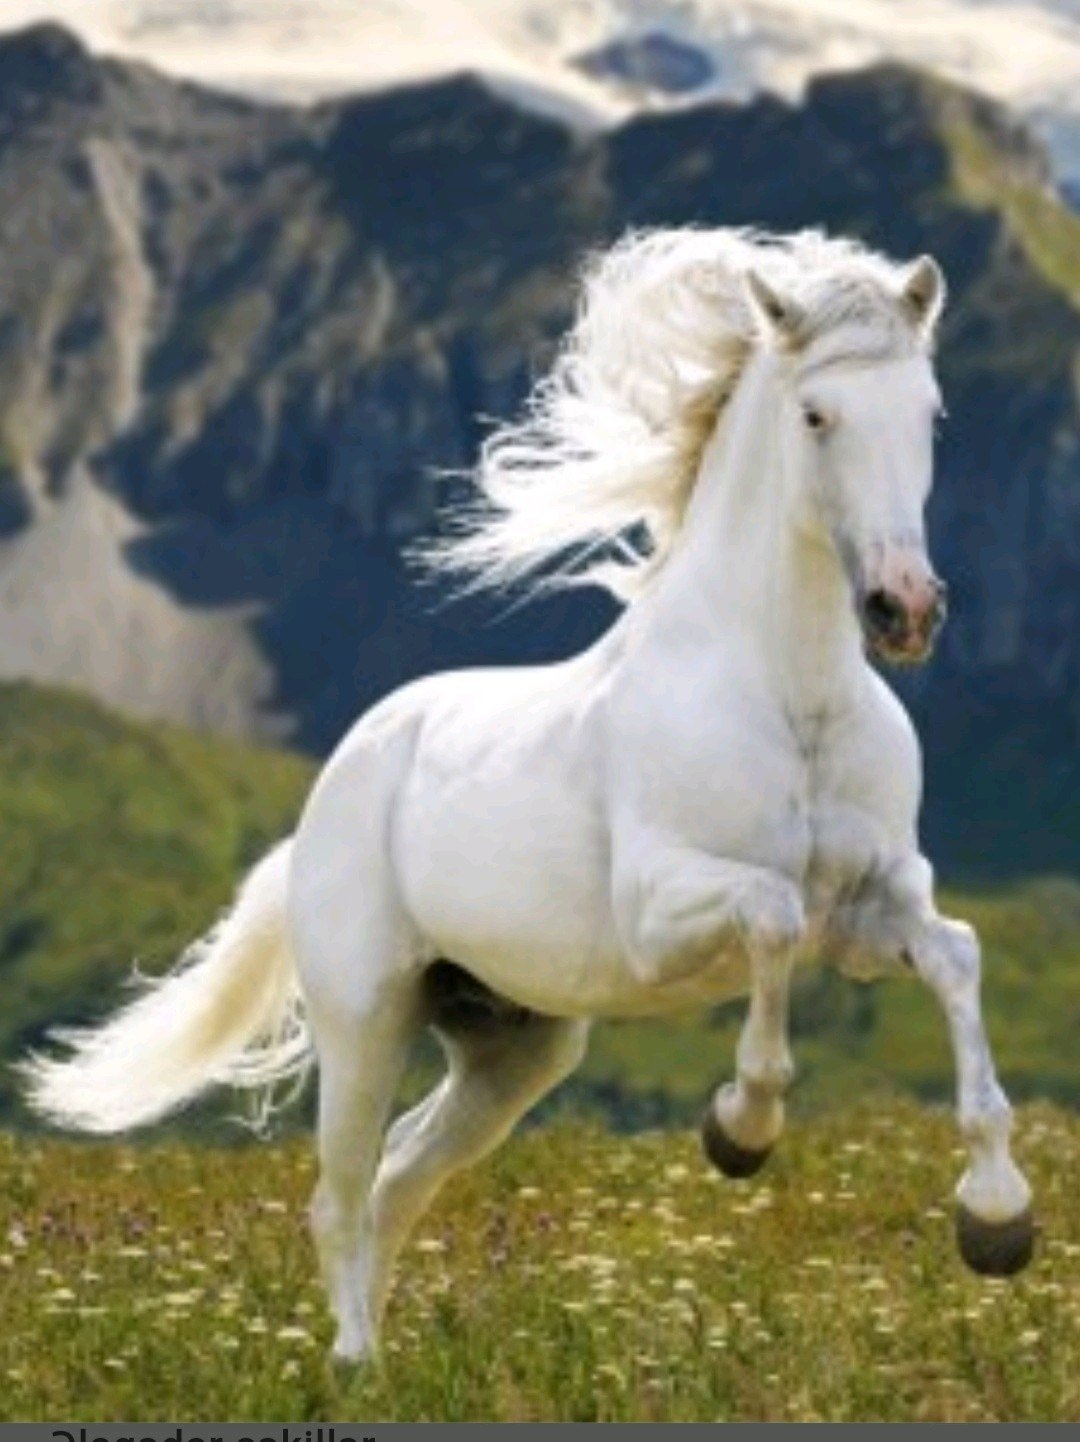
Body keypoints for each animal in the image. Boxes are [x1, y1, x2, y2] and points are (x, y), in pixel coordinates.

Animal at [23, 226, 1035, 1364]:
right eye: (817, 414)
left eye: (930, 412)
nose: (906, 609)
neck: (792, 697)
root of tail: (327, 796)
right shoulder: (663, 910)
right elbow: (772, 918)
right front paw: (740, 1128)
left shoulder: (871, 908)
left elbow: (957, 954)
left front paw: (998, 1219)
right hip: (366, 1016)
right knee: (339, 1195)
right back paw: (353, 1364)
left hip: (514, 1044)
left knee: (399, 1175)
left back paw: (383, 1364)